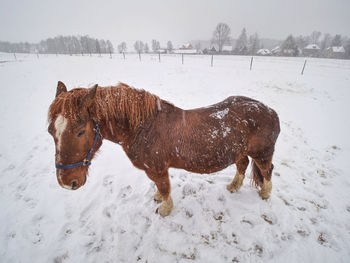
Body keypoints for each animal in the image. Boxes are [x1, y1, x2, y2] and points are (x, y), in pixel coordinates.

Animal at [47, 82, 280, 217]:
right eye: (50, 130)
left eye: (80, 131)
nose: (67, 182)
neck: (143, 127)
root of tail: (271, 111)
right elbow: (160, 188)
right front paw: (158, 197)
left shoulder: (158, 168)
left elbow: (165, 187)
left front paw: (165, 208)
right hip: (240, 151)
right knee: (243, 165)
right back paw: (233, 186)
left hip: (262, 153)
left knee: (266, 171)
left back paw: (265, 194)